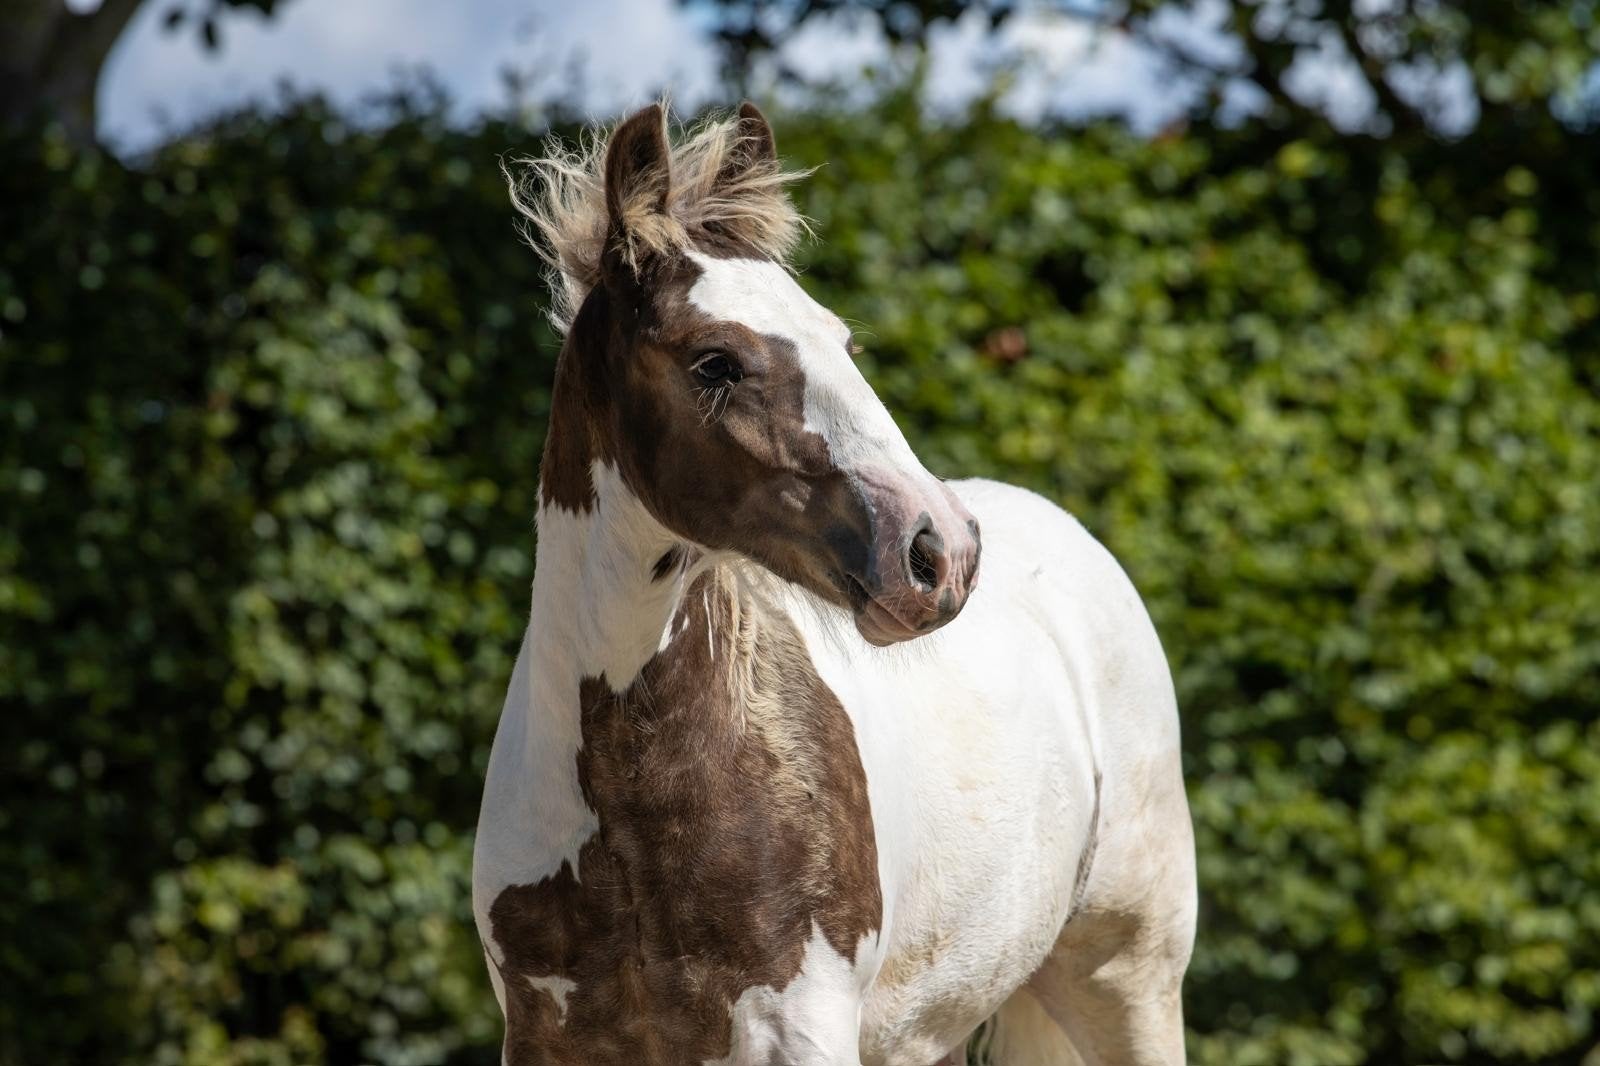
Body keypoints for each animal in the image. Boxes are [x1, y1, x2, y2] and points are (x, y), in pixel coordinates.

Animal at [471, 102, 1196, 1066]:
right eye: (715, 362)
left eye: (842, 340)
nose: (940, 551)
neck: (635, 815)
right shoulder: (548, 1036)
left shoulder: (800, 1028)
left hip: (1128, 977)